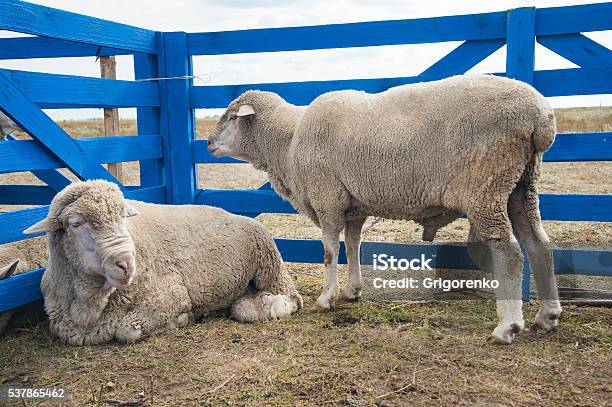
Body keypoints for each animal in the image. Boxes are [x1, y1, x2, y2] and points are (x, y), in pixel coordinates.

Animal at [23, 182, 302, 344]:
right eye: (75, 224)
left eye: (124, 217)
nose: (126, 264)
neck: (89, 306)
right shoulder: (61, 323)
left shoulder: (167, 297)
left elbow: (127, 331)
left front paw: (182, 319)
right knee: (241, 306)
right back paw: (257, 303)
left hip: (269, 263)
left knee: (293, 297)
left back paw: (275, 305)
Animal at [208, 75, 560, 346]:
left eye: (232, 116)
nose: (208, 143)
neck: (288, 140)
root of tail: (541, 117)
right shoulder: (353, 207)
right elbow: (353, 246)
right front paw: (352, 290)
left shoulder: (327, 199)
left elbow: (329, 252)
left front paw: (326, 298)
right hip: (521, 186)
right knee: (539, 246)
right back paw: (547, 315)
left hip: (486, 186)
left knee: (510, 253)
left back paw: (507, 327)